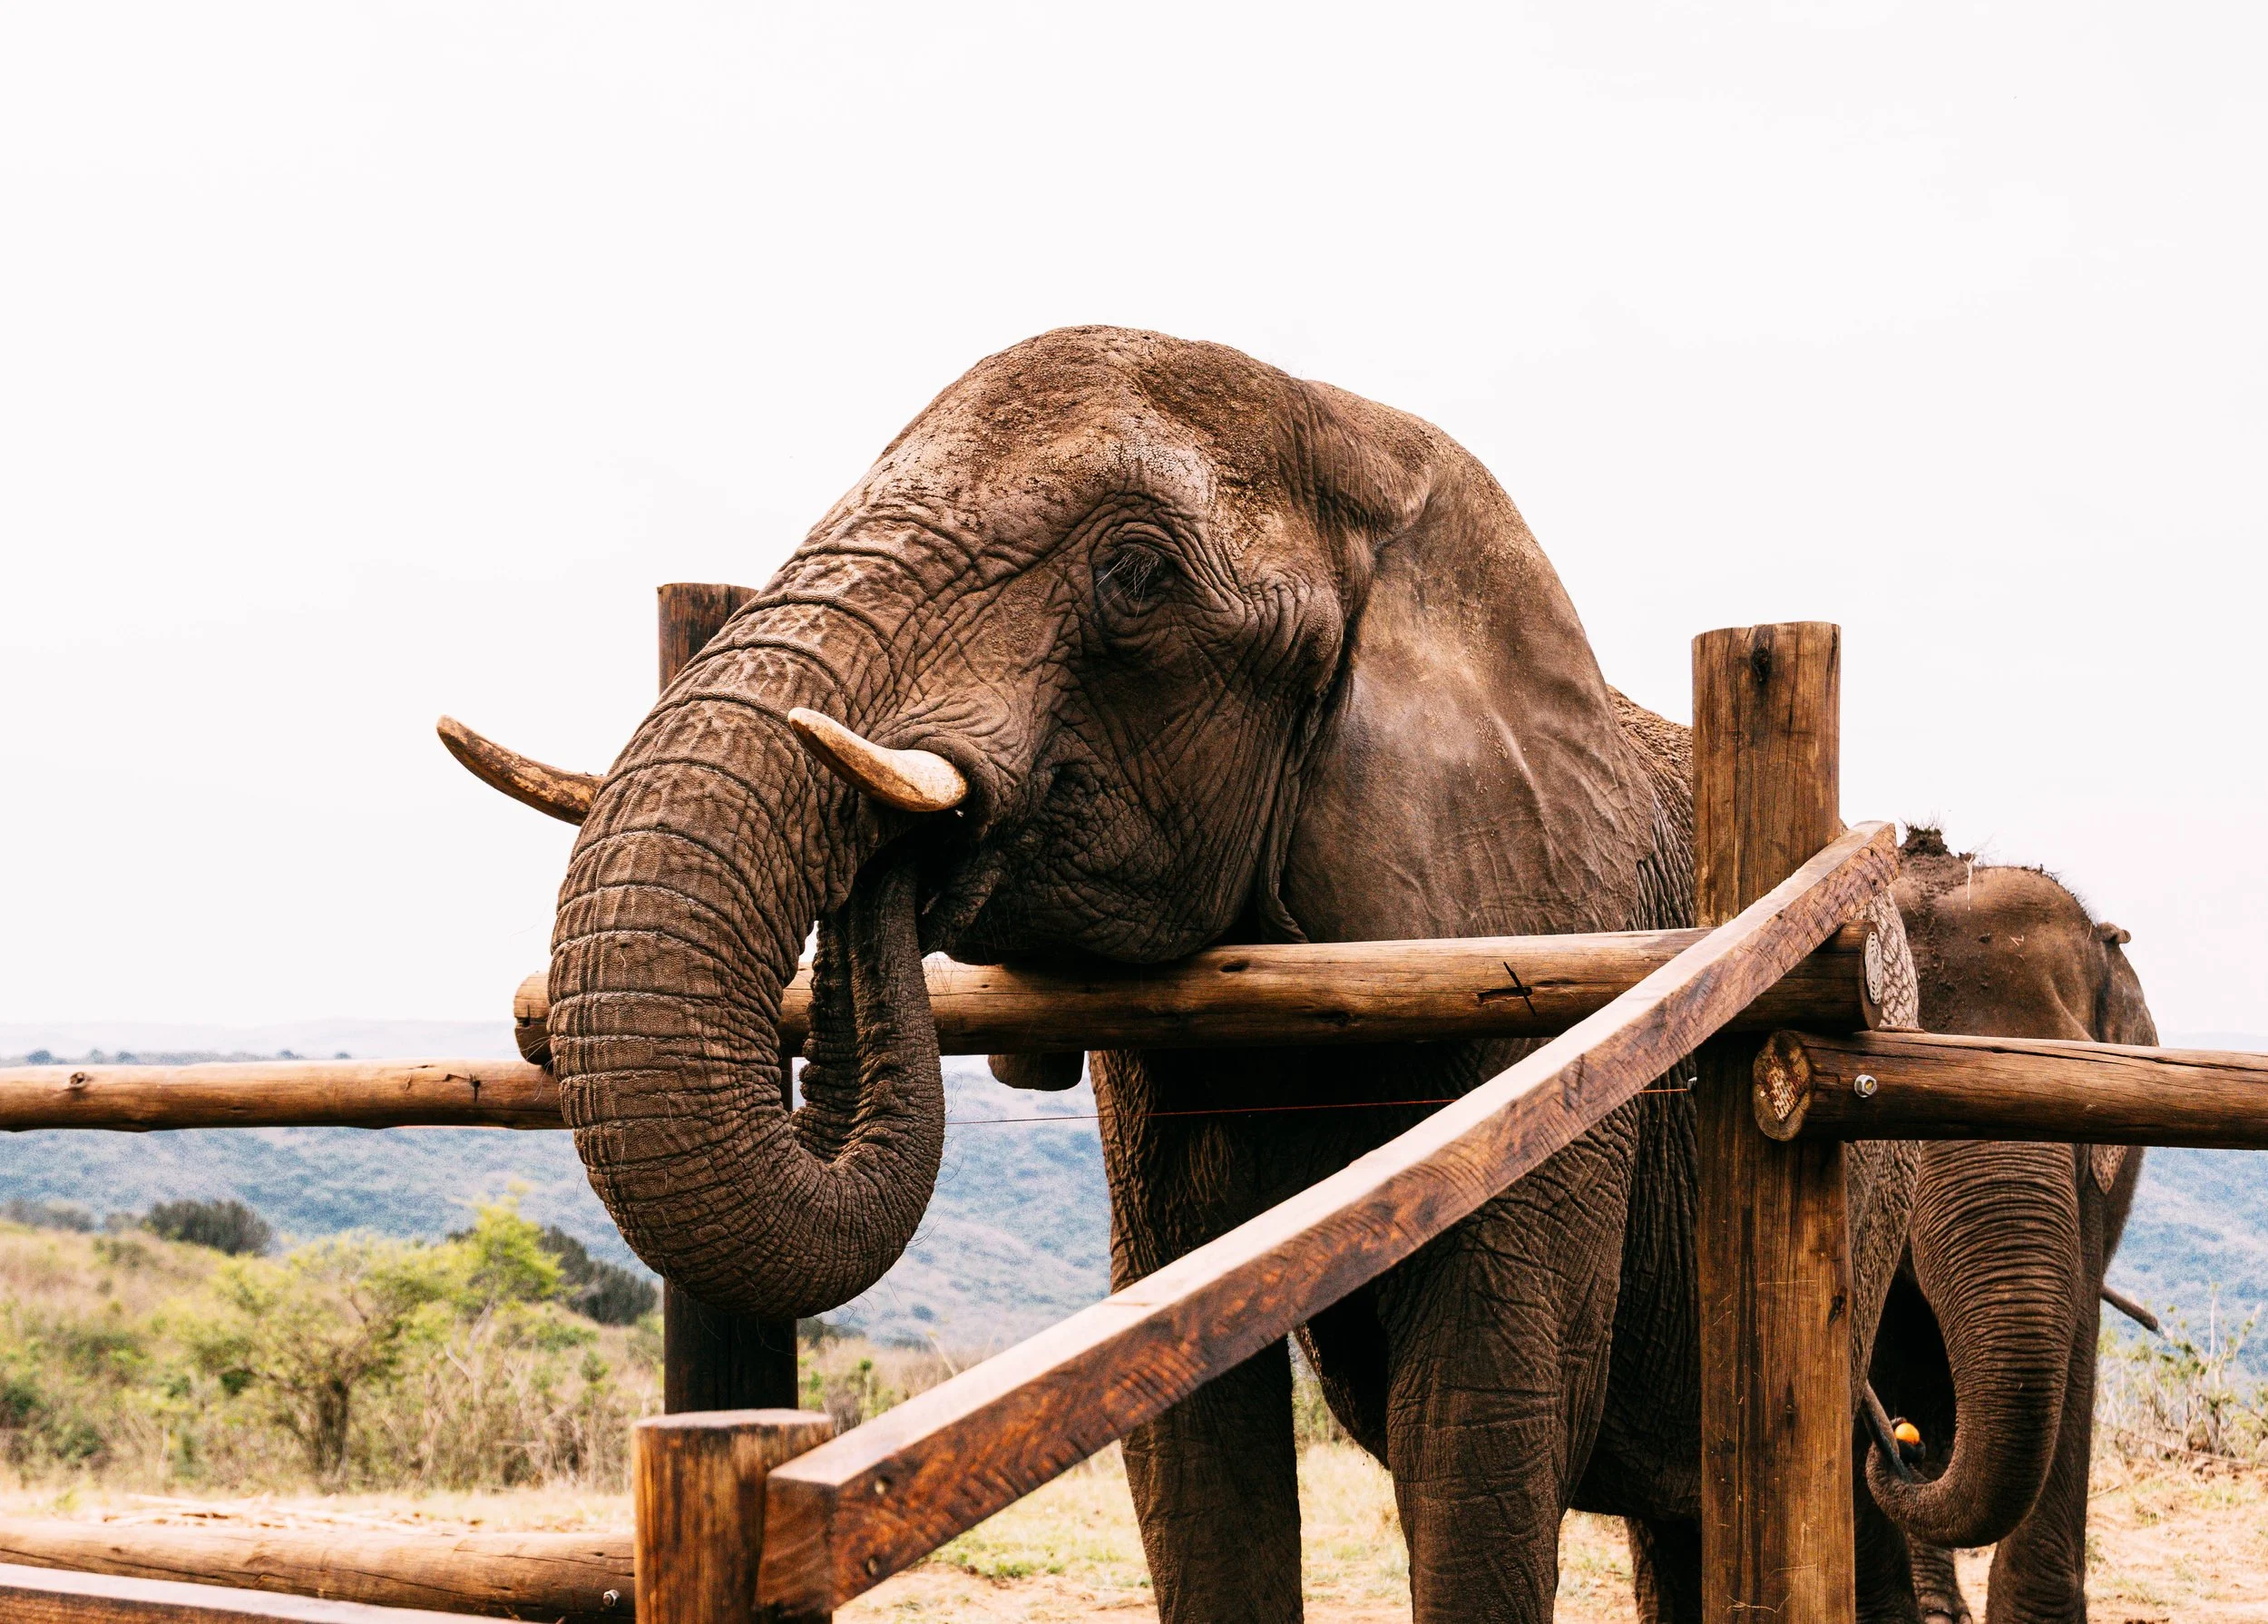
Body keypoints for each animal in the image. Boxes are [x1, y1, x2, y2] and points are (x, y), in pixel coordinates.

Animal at [498, 327, 2096, 1621]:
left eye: (1135, 575)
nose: (897, 856)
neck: (1368, 449)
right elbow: (1188, 1417)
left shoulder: (1553, 985)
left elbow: (1483, 1409)